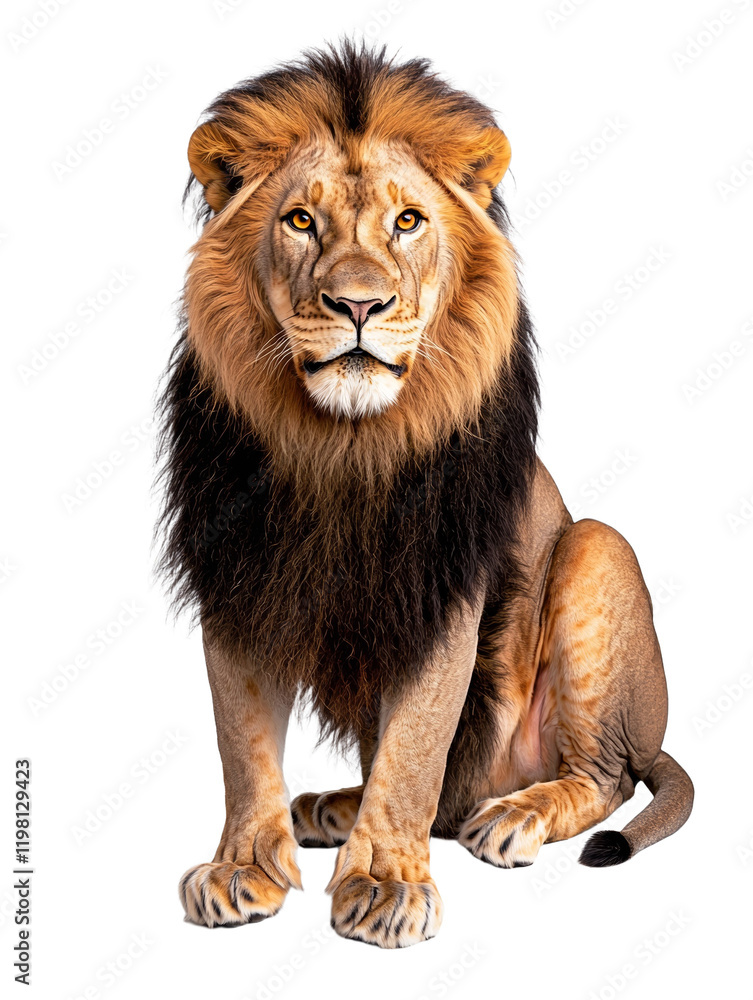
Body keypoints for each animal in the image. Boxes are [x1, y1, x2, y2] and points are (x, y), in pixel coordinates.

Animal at [158, 42, 693, 949]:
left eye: (407, 222)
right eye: (299, 221)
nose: (358, 304)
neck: (340, 444)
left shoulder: (444, 590)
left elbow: (412, 748)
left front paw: (383, 884)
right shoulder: (238, 573)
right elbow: (242, 741)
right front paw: (244, 868)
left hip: (598, 550)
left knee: (604, 775)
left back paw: (514, 815)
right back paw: (331, 806)